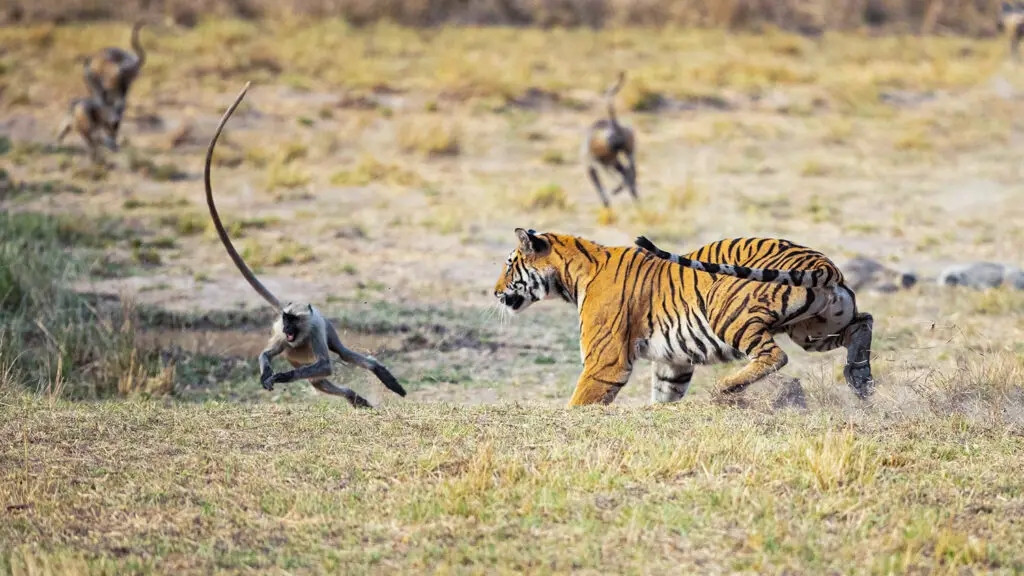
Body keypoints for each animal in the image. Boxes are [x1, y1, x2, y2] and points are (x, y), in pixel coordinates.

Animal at [493, 226, 872, 405]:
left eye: (509, 265)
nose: (495, 292)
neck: (571, 276)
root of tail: (823, 263)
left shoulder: (605, 361)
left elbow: (581, 401)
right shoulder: (672, 361)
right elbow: (664, 394)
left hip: (728, 311)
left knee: (774, 355)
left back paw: (724, 389)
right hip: (813, 329)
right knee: (863, 322)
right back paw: (860, 379)